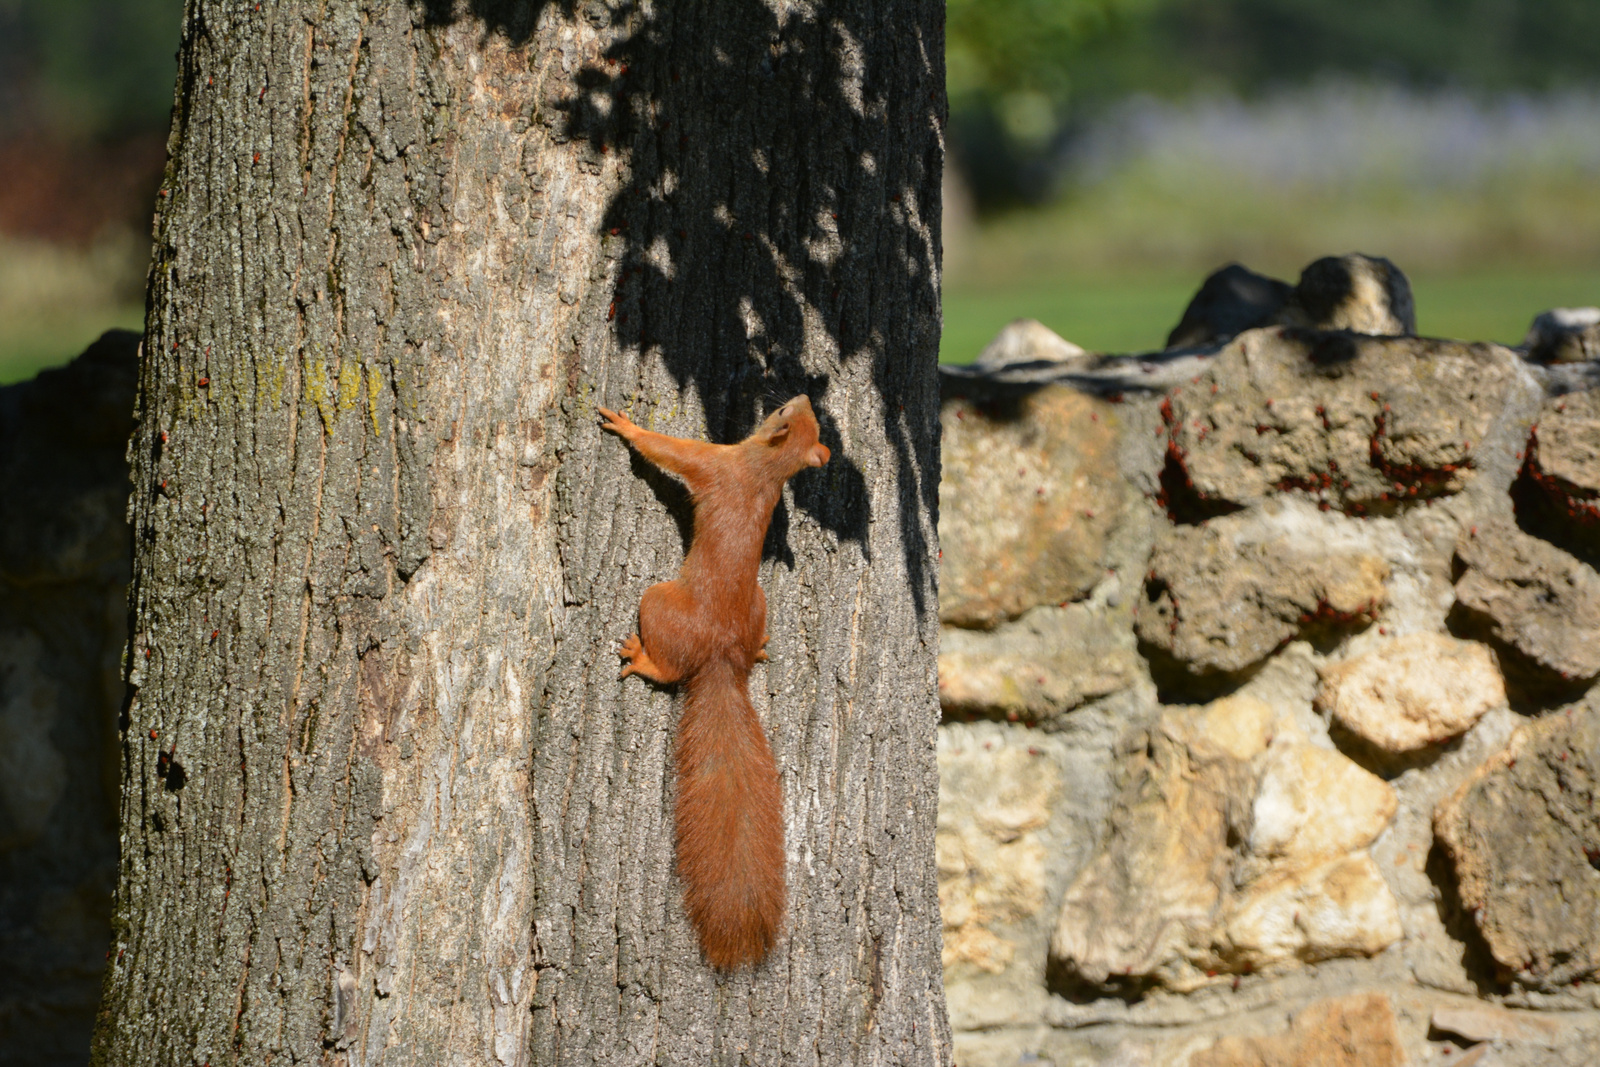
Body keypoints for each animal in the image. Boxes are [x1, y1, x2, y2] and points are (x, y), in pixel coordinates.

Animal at [598, 396, 832, 972]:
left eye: (781, 411)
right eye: (796, 413)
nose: (802, 396)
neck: (762, 469)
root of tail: (722, 657)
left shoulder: (712, 464)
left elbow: (669, 451)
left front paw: (628, 427)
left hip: (657, 601)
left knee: (665, 662)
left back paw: (643, 660)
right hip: (757, 608)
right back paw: (763, 646)